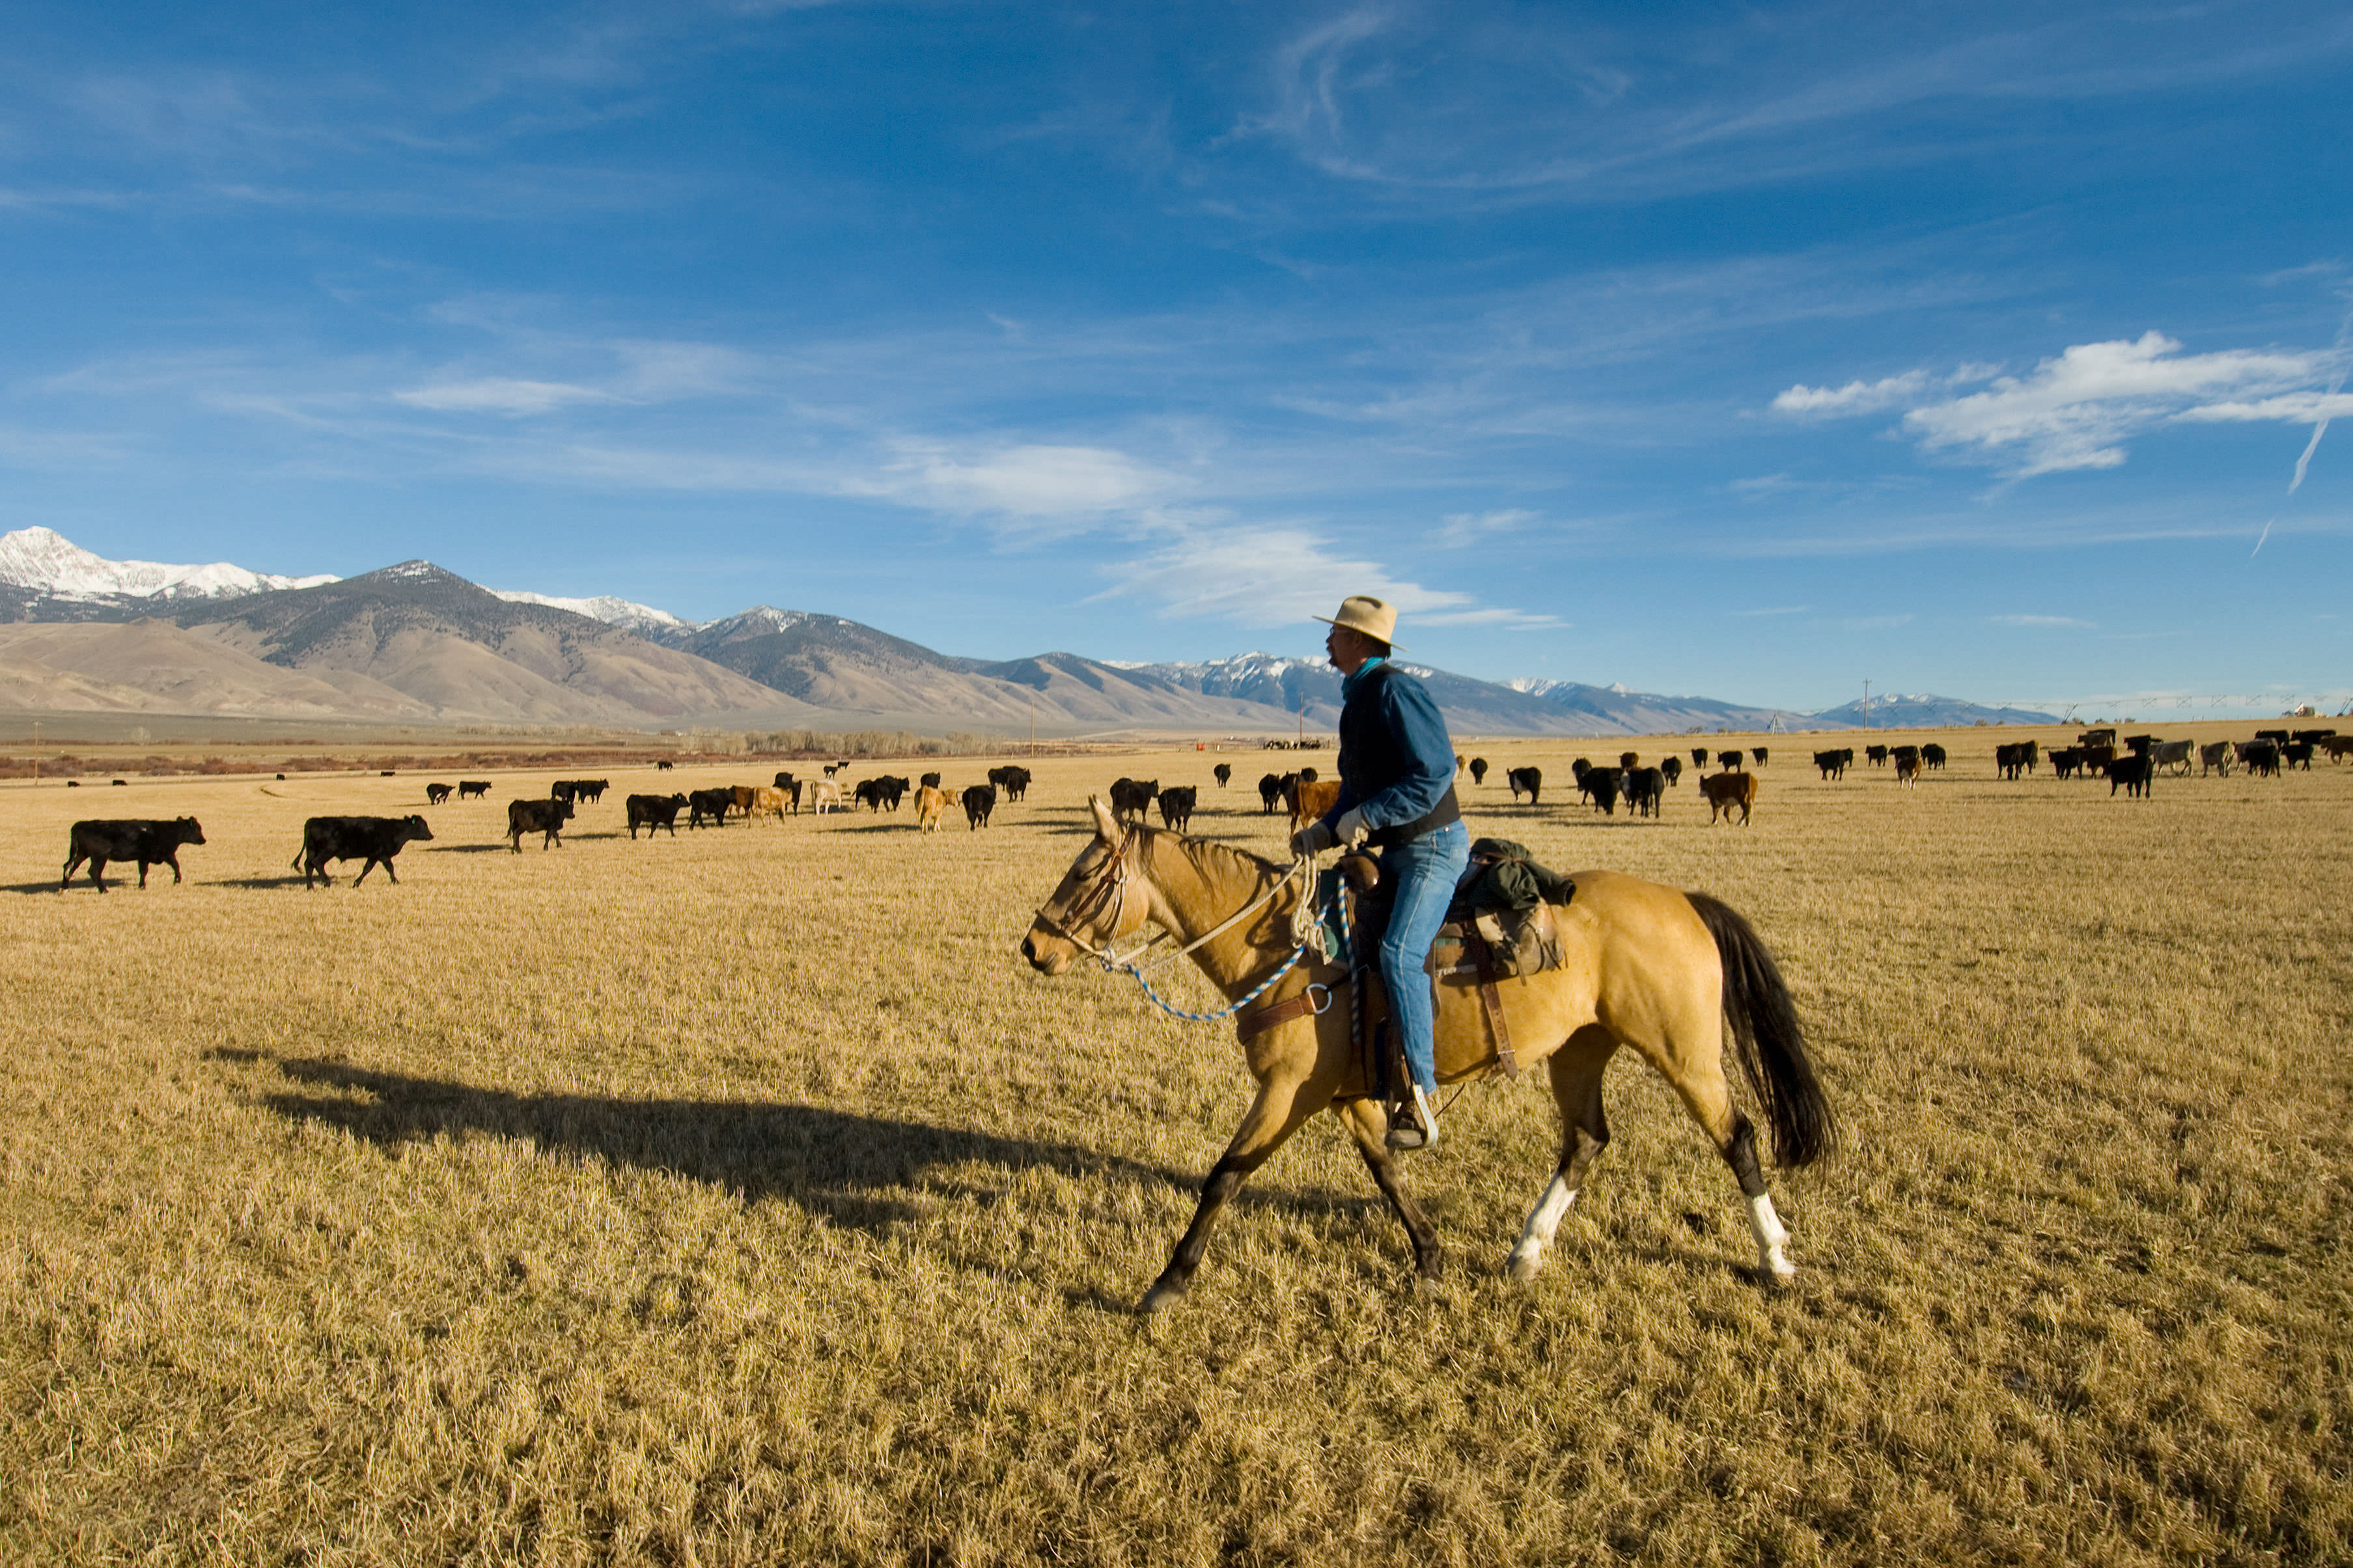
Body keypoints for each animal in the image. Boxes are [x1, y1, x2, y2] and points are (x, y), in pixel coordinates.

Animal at [61, 818, 204, 888]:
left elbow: (144, 871)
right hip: (100, 857)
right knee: (93, 871)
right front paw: (177, 880)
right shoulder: (162, 854)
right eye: (198, 829)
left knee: (69, 867)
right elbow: (175, 866)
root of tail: (81, 824)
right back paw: (104, 890)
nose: (204, 840)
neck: (168, 831)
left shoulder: (145, 858)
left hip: (81, 854)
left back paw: (64, 888)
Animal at [292, 818, 432, 888]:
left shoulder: (380, 856)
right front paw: (356, 883)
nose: (432, 836)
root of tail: (313, 821)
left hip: (312, 850)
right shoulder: (378, 855)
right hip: (327, 851)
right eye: (423, 826)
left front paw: (395, 881)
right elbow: (370, 869)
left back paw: (310, 887)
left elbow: (387, 868)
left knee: (308, 865)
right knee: (317, 863)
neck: (395, 830)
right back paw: (327, 883)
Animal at [1016, 804, 1835, 1307]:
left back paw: (1775, 1258)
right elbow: (1387, 1171)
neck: (1289, 951)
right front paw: (1432, 1259)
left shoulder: (1287, 1091)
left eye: (1085, 873)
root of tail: (1685, 900)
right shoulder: (1347, 1095)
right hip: (1578, 1050)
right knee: (1585, 1141)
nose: (1031, 948)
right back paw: (1524, 1253)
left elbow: (1226, 1174)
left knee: (1737, 1138)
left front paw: (1167, 1282)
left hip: (1682, 1053)